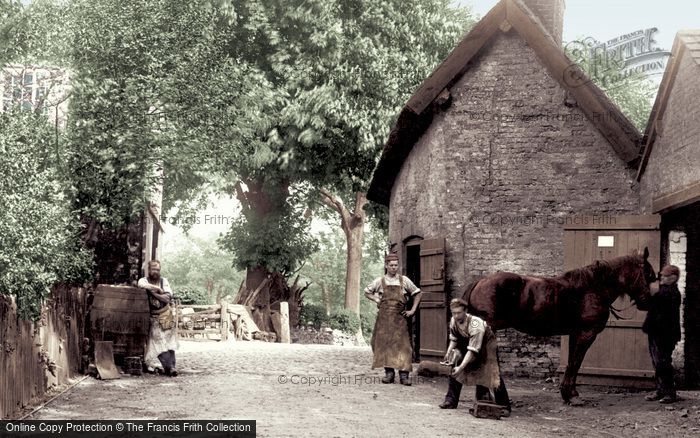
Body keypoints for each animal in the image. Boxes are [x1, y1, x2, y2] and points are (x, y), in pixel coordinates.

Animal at [464, 248, 656, 406]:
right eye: (648, 275)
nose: (647, 302)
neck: (593, 288)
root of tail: (480, 282)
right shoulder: (587, 334)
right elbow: (576, 362)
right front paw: (573, 395)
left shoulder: (575, 334)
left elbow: (572, 362)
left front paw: (567, 394)